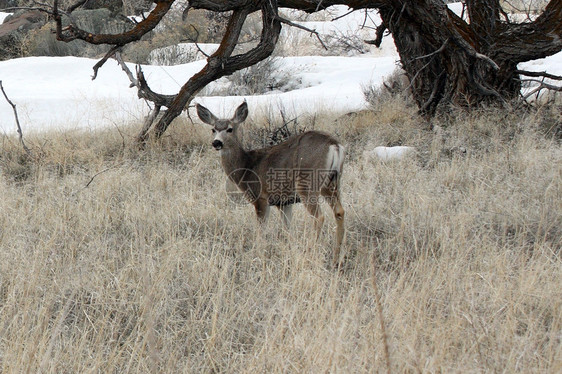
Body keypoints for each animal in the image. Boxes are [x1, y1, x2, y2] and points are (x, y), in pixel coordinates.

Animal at [197, 101, 346, 268]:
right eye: (213, 129)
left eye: (230, 129)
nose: (216, 142)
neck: (247, 167)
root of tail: (335, 145)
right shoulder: (284, 202)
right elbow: (287, 230)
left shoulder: (261, 197)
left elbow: (261, 230)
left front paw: (259, 255)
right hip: (333, 182)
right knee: (339, 212)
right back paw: (336, 259)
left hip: (307, 183)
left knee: (319, 217)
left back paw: (310, 253)